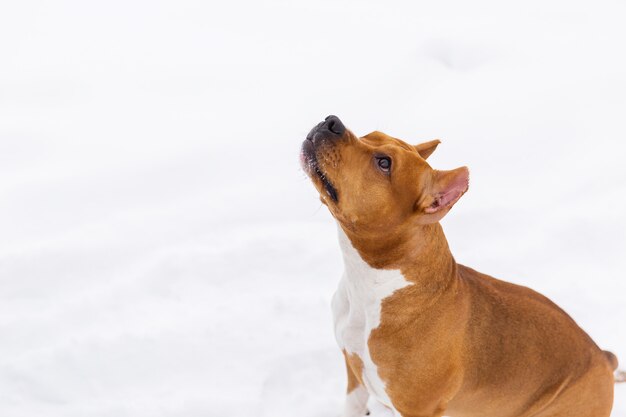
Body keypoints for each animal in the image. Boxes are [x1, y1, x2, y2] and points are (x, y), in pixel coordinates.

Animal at [298, 114, 620, 416]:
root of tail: (603, 358)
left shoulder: (418, 409)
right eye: (370, 135)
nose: (332, 122)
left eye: (384, 163)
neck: (371, 284)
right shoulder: (353, 377)